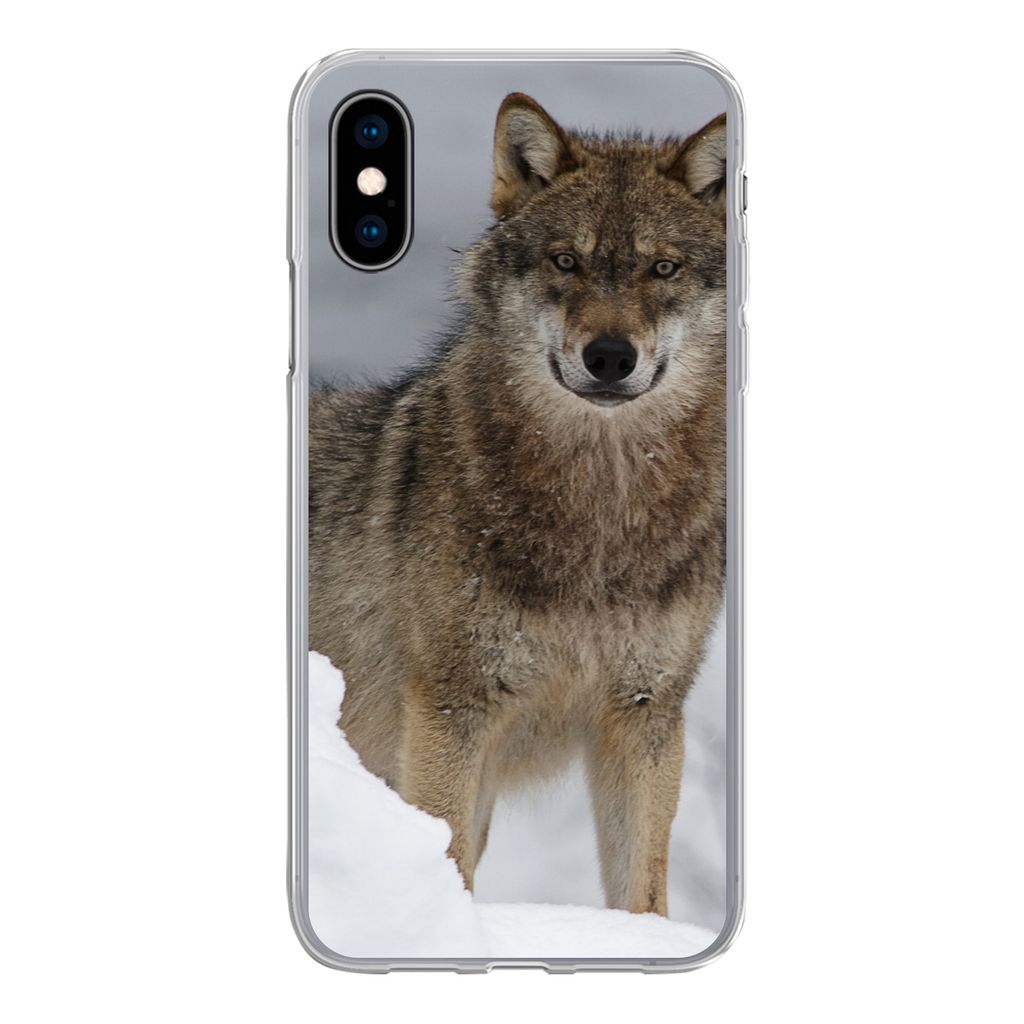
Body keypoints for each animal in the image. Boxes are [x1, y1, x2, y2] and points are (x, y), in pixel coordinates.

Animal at [309, 93, 727, 916]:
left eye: (662, 267)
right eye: (567, 261)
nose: (609, 356)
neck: (600, 513)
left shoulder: (646, 714)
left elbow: (643, 893)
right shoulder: (452, 710)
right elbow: (449, 860)